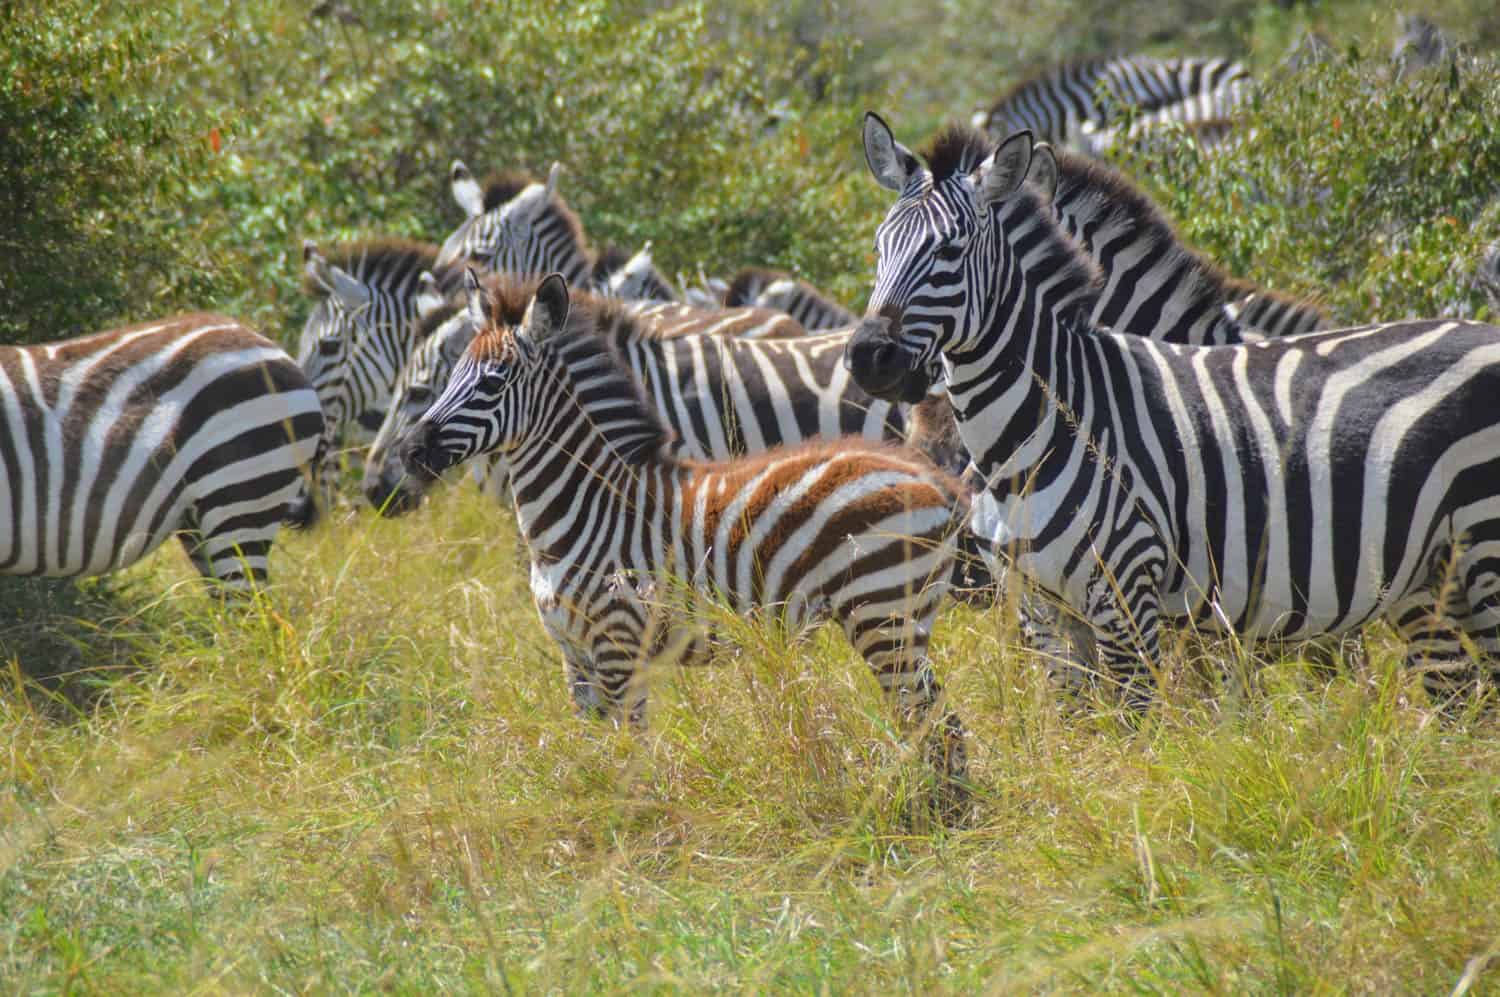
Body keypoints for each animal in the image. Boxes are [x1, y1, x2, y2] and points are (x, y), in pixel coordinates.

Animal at [845, 114, 1500, 710]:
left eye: (949, 251)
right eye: (878, 248)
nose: (869, 356)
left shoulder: (1141, 599)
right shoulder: (1047, 611)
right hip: (1432, 577)